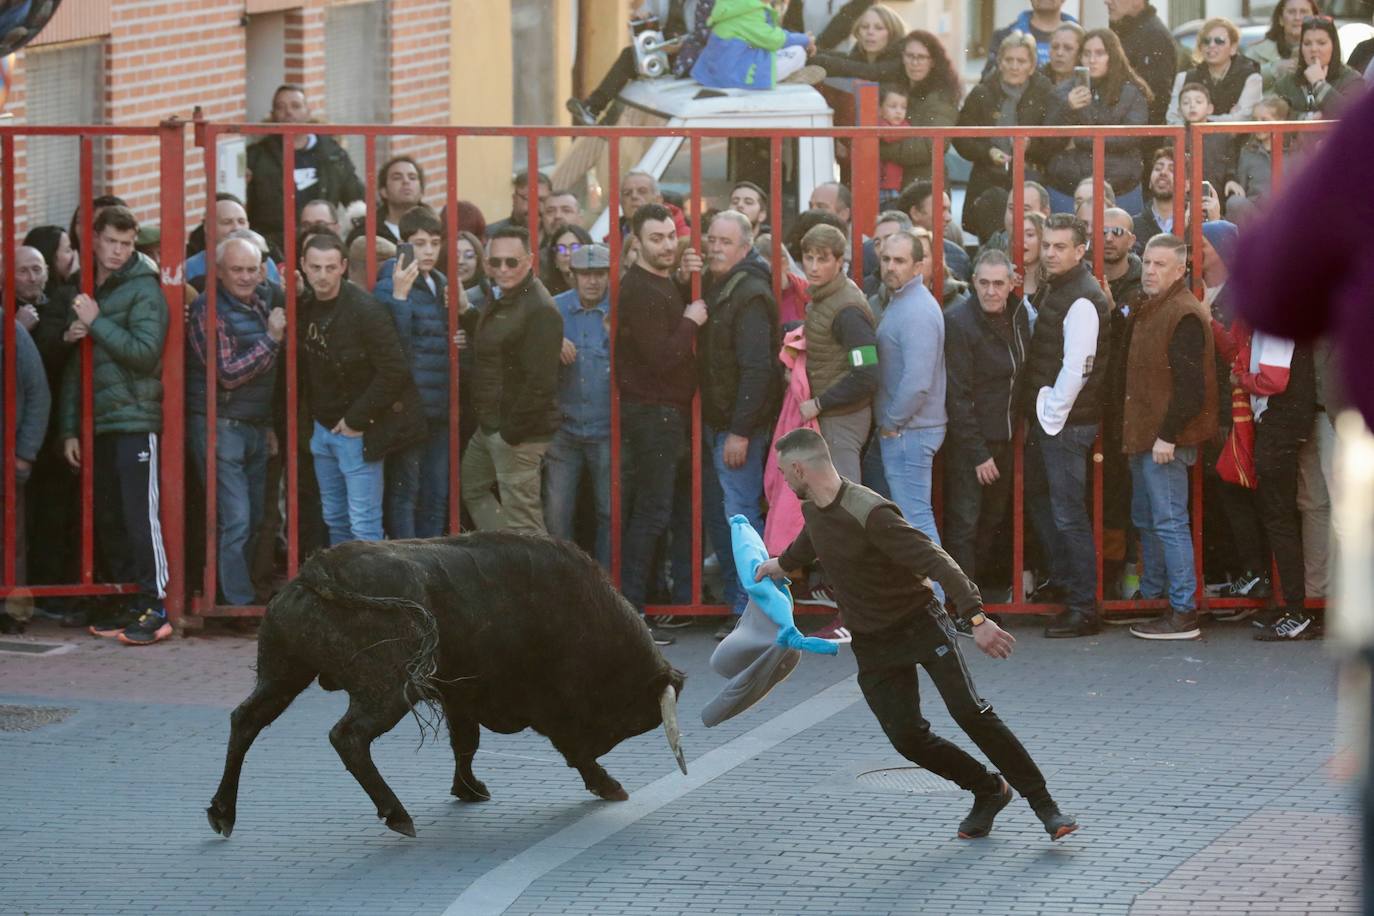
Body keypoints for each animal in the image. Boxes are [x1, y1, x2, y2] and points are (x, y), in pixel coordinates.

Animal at [206, 530, 687, 840]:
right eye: (623, 718)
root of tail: (320, 569)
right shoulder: (543, 704)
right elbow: (570, 749)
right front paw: (608, 784)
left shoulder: (461, 695)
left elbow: (465, 743)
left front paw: (469, 789)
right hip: (387, 690)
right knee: (348, 736)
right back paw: (397, 814)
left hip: (283, 673)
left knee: (246, 720)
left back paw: (222, 812)